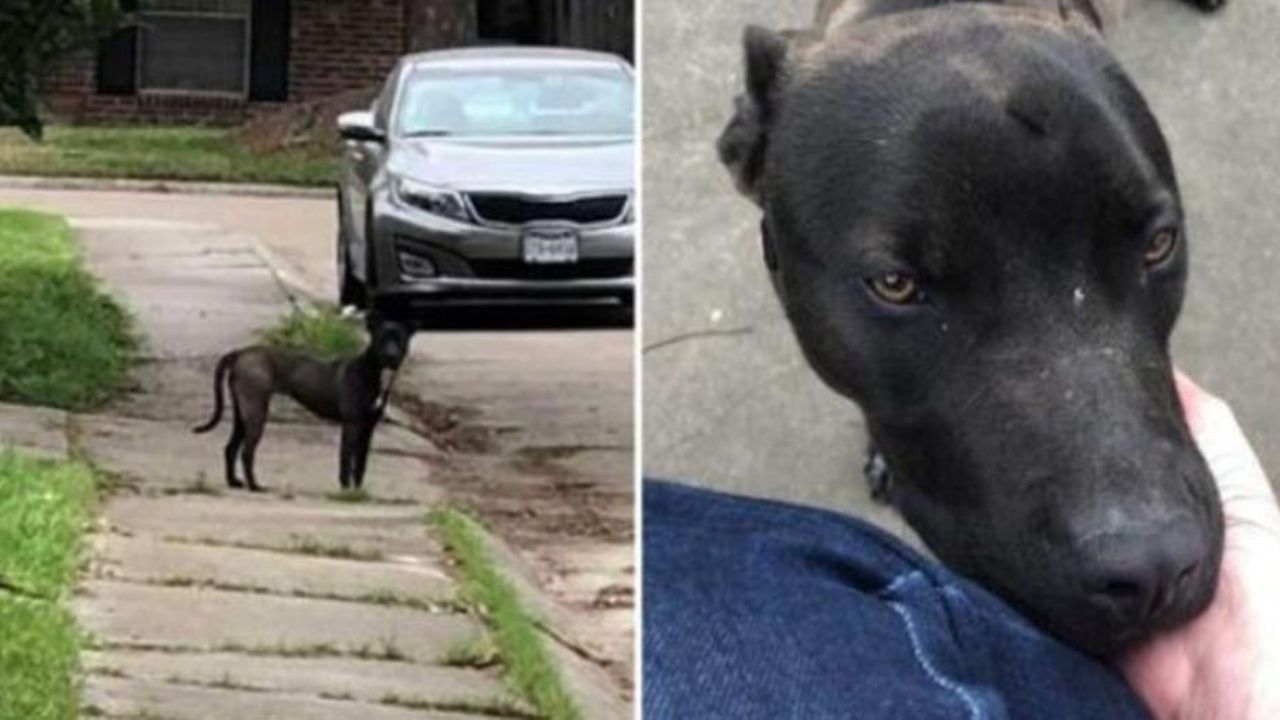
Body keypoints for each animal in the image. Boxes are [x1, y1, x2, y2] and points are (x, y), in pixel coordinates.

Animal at [193, 320, 409, 491]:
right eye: (382, 339)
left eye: (399, 339)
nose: (391, 353)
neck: (374, 371)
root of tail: (240, 353)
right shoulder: (351, 425)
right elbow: (346, 461)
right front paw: (347, 491)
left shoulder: (367, 429)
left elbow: (361, 465)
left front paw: (358, 492)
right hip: (255, 412)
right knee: (247, 452)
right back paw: (254, 486)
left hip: (242, 414)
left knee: (230, 448)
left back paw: (233, 482)